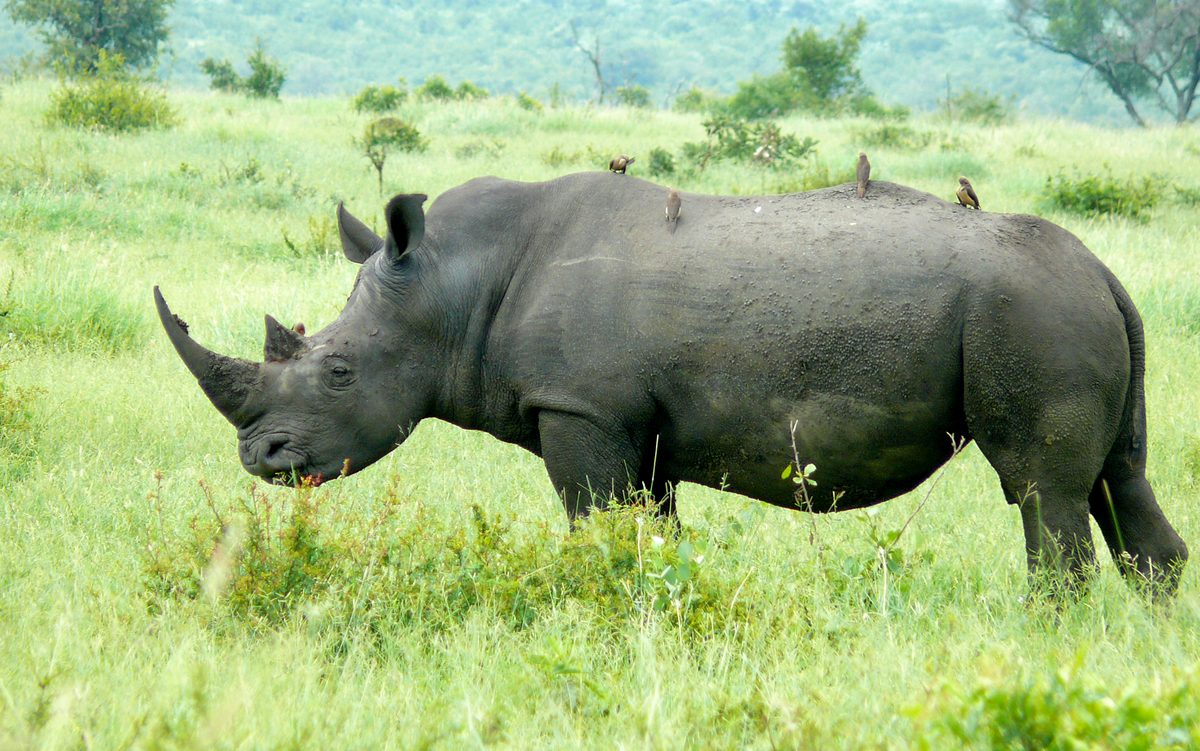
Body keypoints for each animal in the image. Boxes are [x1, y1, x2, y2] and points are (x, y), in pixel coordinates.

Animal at [155, 173, 1187, 593]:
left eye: (337, 371)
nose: (260, 457)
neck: (452, 285)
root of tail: (1104, 271)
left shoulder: (580, 408)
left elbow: (596, 526)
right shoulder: (633, 424)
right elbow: (649, 531)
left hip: (1027, 310)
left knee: (1041, 489)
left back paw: (1049, 631)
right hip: (1065, 306)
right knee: (1118, 482)